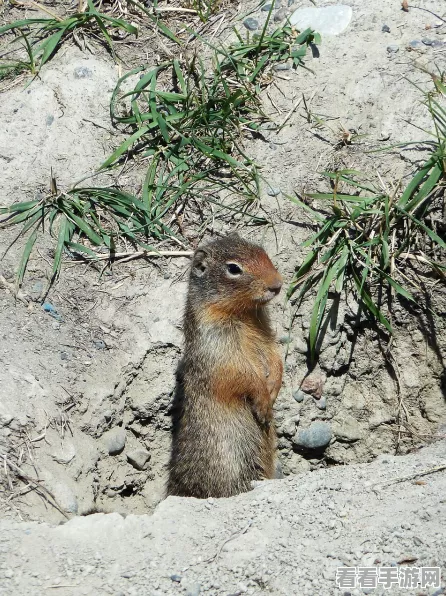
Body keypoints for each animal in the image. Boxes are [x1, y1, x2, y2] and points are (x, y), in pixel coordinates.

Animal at [167, 233, 282, 498]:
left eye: (264, 252)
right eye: (233, 268)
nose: (277, 284)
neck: (245, 314)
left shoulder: (266, 333)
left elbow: (275, 355)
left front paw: (274, 387)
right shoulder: (218, 346)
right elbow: (240, 373)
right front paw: (263, 402)